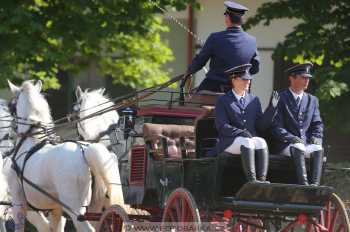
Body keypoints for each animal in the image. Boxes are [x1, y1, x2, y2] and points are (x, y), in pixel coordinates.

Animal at [6, 80, 125, 232]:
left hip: (75, 208)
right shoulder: (56, 209)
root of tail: (85, 150)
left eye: (11, 106)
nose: (10, 132)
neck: (32, 140)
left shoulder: (19, 203)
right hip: (95, 208)